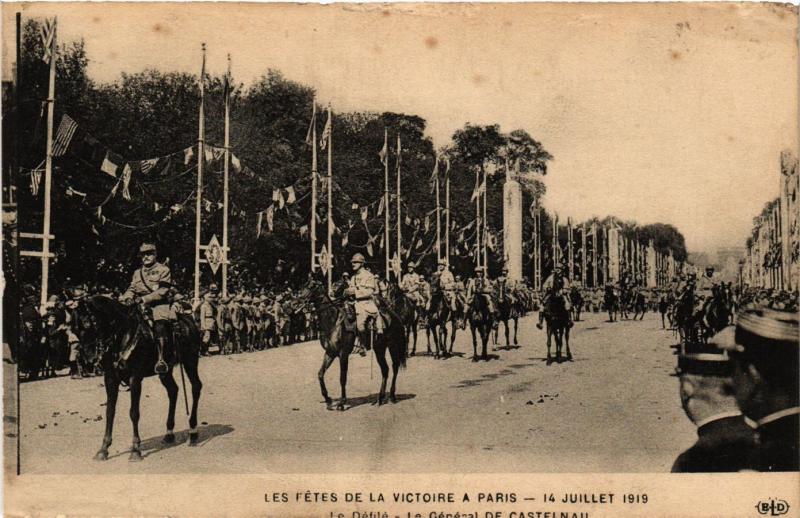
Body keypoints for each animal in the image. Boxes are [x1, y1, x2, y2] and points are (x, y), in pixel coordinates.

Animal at [72, 296, 203, 464]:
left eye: (90, 323)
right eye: (74, 329)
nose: (90, 359)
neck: (122, 336)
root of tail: (188, 319)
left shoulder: (135, 379)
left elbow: (134, 413)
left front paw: (135, 450)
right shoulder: (110, 379)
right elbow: (110, 412)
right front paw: (103, 449)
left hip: (190, 360)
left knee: (196, 387)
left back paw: (193, 432)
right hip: (165, 371)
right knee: (173, 391)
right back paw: (169, 433)